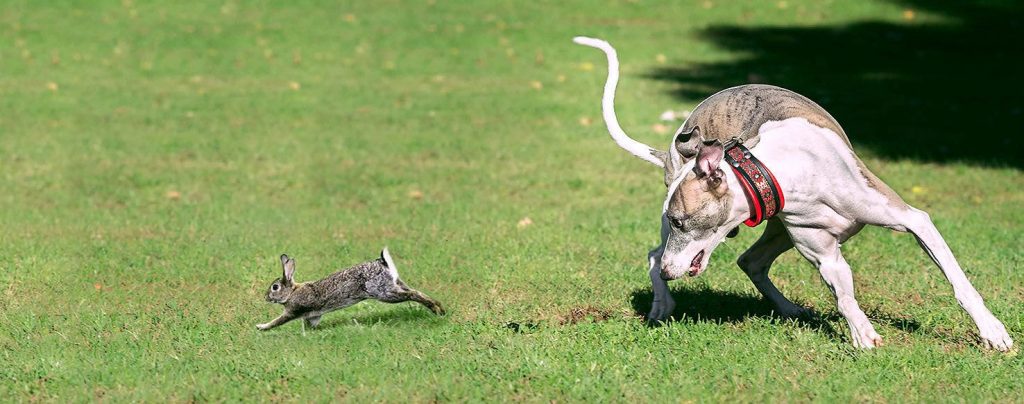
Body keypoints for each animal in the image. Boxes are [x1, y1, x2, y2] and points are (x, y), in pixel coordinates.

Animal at [256, 246, 444, 331]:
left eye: (275, 287)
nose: (265, 297)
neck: (292, 292)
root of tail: (382, 263)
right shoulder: (314, 315)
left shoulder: (293, 311)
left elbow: (278, 321)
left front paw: (261, 327)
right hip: (396, 284)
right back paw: (440, 309)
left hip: (384, 292)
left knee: (414, 294)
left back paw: (436, 310)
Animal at [577, 36, 1015, 351]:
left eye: (681, 220)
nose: (672, 272)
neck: (786, 170)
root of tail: (679, 142)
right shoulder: (824, 254)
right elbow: (844, 295)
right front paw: (863, 335)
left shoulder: (910, 219)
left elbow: (959, 283)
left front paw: (993, 332)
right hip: (780, 227)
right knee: (675, 254)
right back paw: (664, 303)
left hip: (778, 228)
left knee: (748, 260)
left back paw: (784, 307)